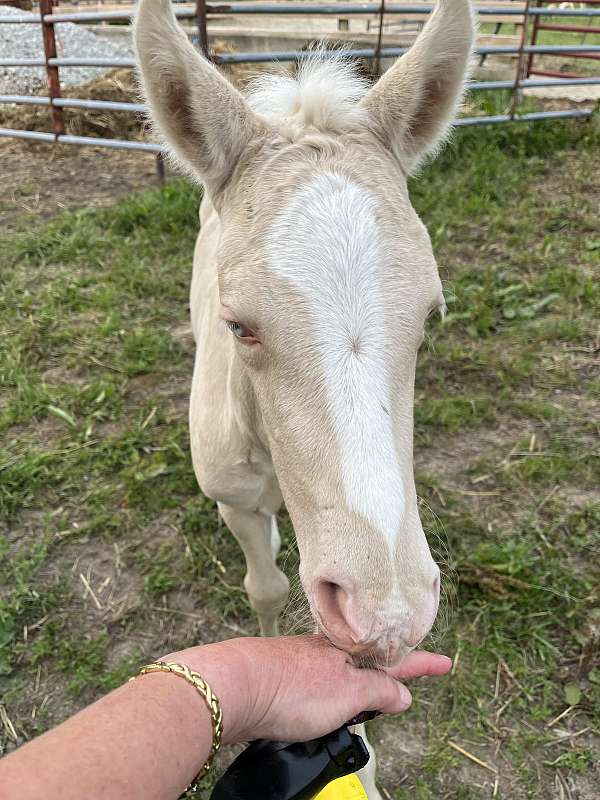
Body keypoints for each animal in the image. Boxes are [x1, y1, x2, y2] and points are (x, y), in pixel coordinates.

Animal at [135, 0, 474, 792]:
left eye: (431, 314)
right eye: (238, 325)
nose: (388, 612)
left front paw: (363, 765)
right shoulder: (232, 495)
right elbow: (265, 591)